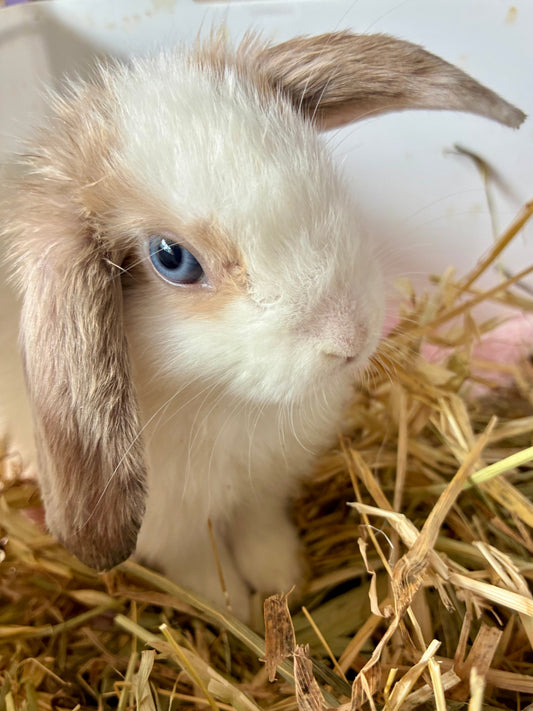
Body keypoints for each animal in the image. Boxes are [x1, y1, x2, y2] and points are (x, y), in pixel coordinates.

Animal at [0, 31, 525, 620]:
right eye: (171, 259)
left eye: (317, 169)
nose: (351, 338)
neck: (225, 403)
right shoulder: (172, 524)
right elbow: (198, 564)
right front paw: (230, 608)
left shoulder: (264, 489)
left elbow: (261, 531)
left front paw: (283, 579)